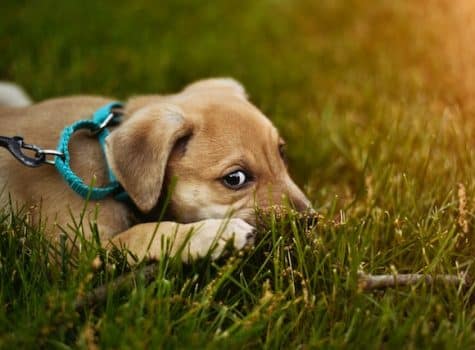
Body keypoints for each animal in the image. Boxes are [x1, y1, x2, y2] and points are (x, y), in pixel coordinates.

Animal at [0, 78, 314, 262]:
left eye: (282, 153)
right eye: (235, 178)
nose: (311, 221)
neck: (109, 168)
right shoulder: (78, 253)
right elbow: (145, 233)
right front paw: (214, 234)